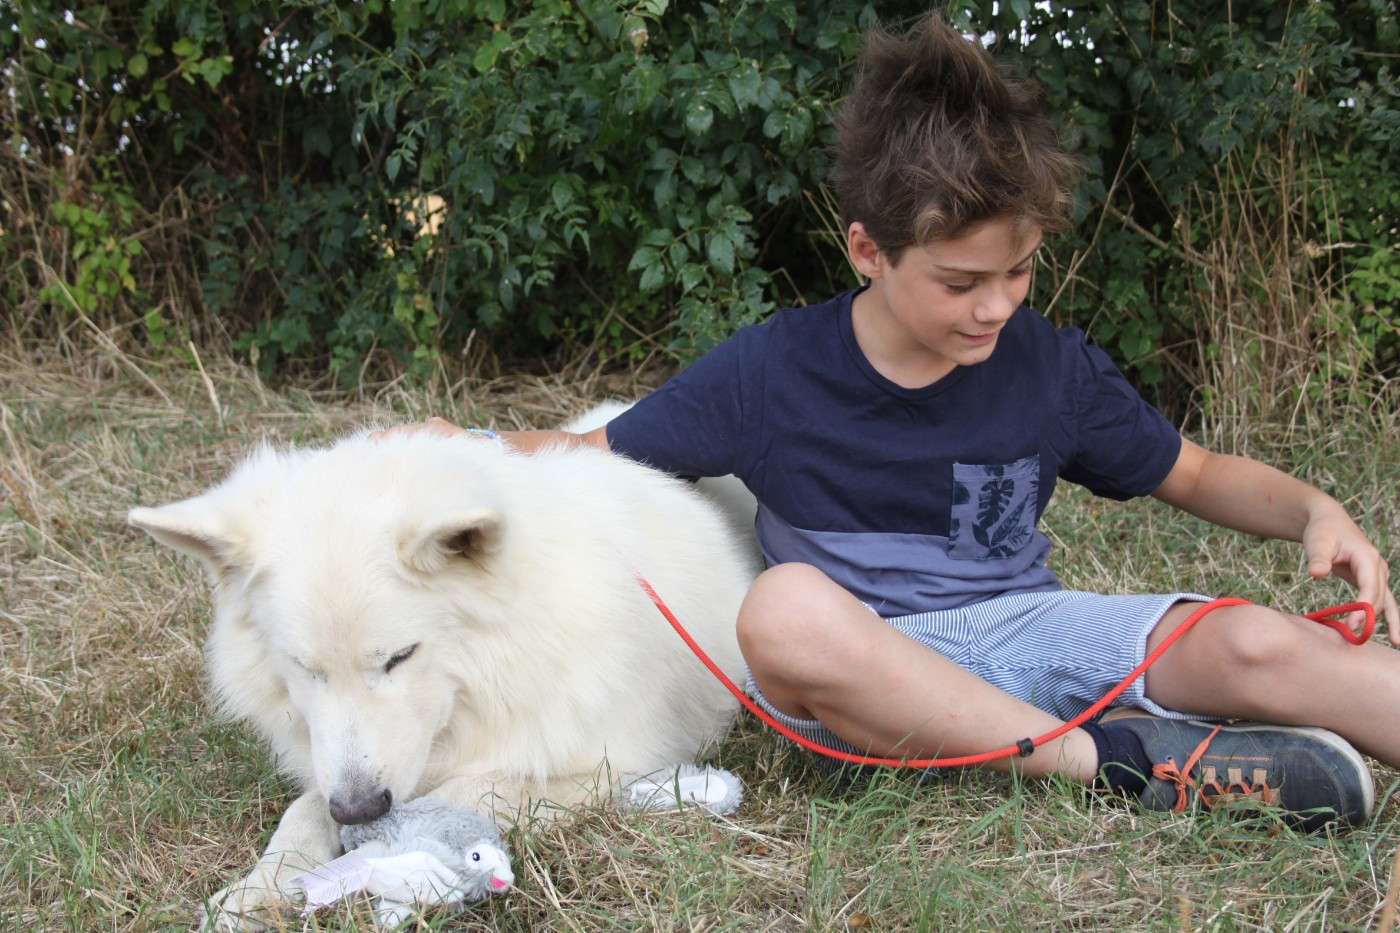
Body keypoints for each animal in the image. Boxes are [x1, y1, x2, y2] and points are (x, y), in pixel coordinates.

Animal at [128, 406, 759, 927]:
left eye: (399, 657)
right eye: (305, 667)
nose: (358, 807)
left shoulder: (614, 765)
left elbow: (469, 791)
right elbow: (304, 808)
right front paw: (256, 890)